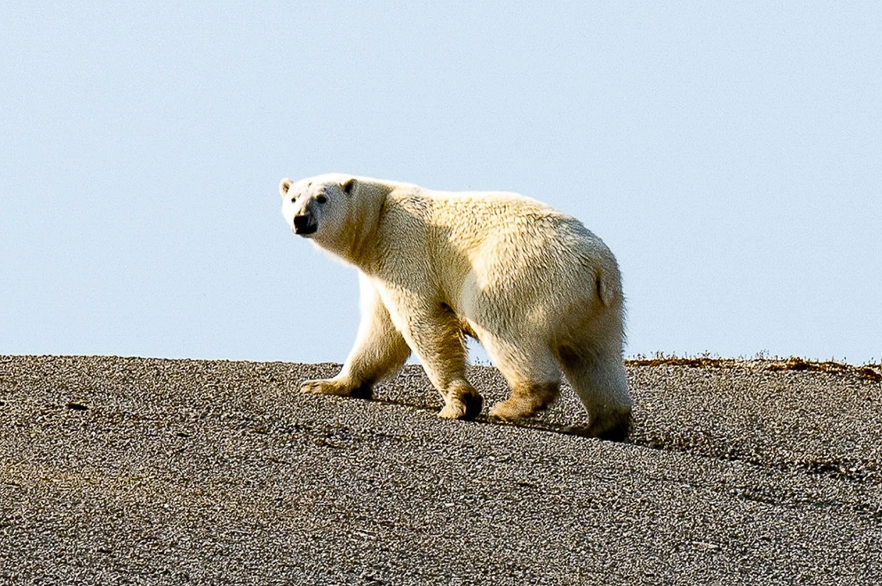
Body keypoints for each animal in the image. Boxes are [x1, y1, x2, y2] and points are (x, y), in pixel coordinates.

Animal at [279, 173, 632, 440]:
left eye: (321, 197)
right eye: (294, 197)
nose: (301, 220)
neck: (377, 213)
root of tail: (600, 266)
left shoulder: (401, 244)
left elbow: (421, 320)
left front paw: (459, 402)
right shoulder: (376, 269)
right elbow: (381, 330)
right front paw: (324, 384)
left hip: (521, 271)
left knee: (499, 323)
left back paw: (513, 404)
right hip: (598, 307)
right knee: (595, 357)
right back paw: (602, 424)